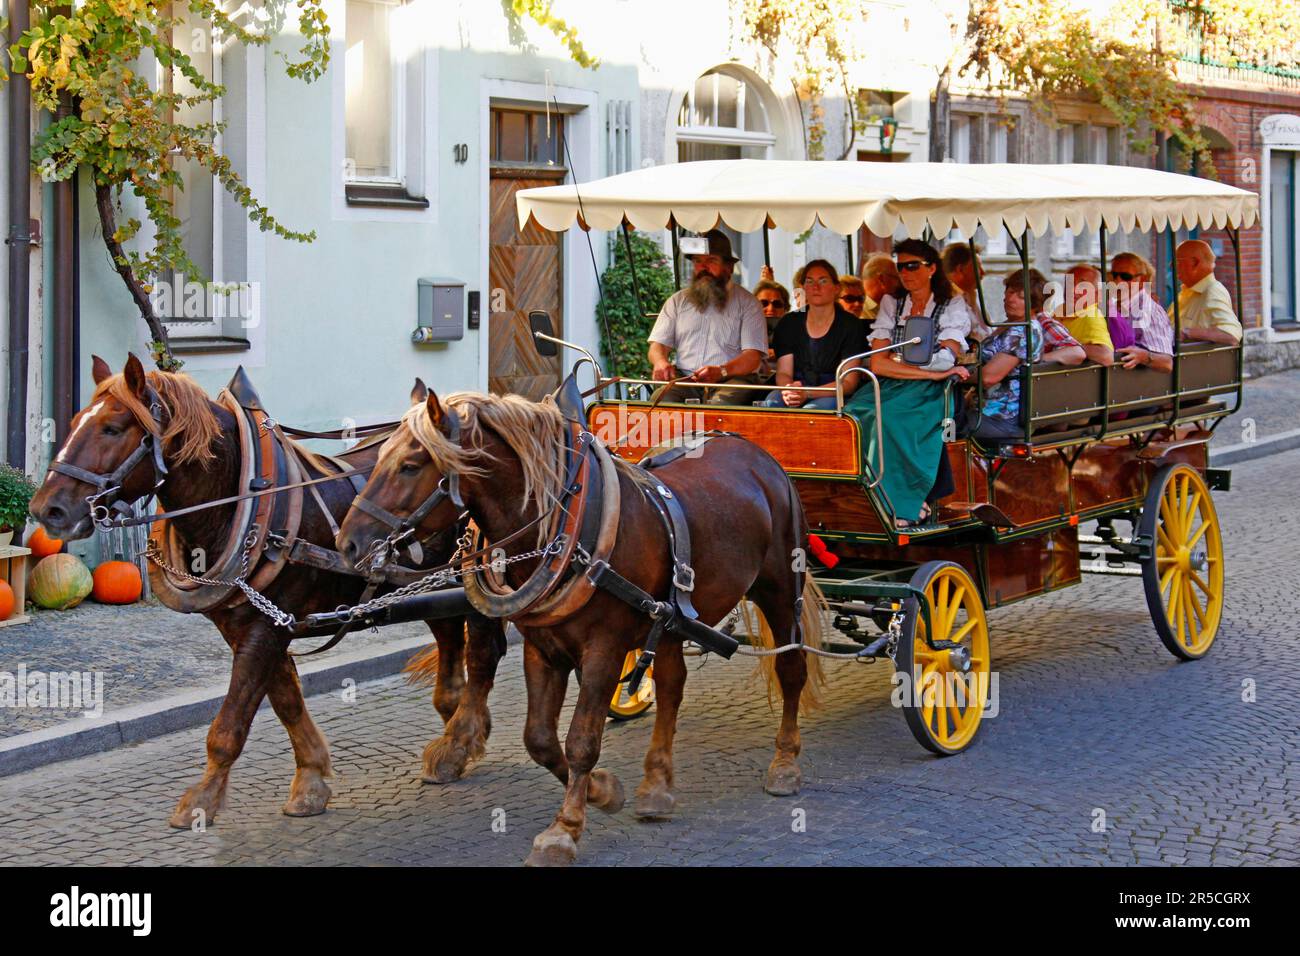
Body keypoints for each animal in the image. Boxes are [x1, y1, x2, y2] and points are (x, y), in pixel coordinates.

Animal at [29, 356, 506, 827]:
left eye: (112, 428)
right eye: (74, 422)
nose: (47, 509)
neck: (243, 502)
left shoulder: (267, 628)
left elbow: (231, 722)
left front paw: (203, 798)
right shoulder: (250, 623)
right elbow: (285, 700)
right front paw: (310, 779)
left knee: (483, 654)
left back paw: (460, 740)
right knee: (452, 647)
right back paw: (458, 733)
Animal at [335, 387, 821, 868]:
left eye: (410, 465)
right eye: (380, 458)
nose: (347, 543)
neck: (570, 530)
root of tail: (754, 453)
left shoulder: (604, 649)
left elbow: (582, 740)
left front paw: (564, 830)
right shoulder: (542, 647)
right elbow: (540, 739)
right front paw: (602, 791)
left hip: (780, 590)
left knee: (791, 670)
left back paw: (785, 764)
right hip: (670, 618)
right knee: (671, 685)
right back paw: (657, 784)